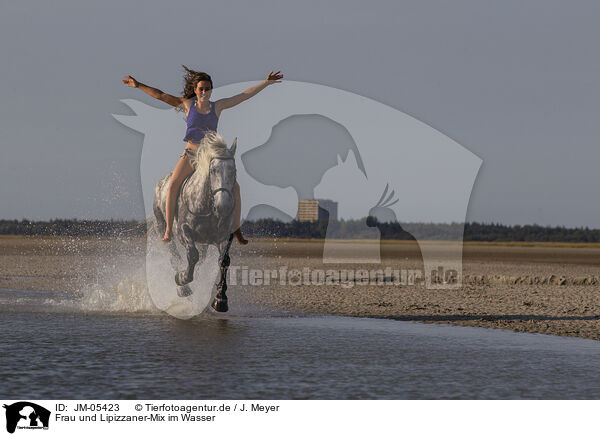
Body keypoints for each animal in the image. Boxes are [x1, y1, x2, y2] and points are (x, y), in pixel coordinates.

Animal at [152, 131, 237, 312]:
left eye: (233, 170)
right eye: (213, 170)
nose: (224, 206)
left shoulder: (223, 237)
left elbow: (224, 261)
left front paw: (220, 300)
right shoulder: (184, 231)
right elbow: (192, 255)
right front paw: (182, 279)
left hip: (203, 241)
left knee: (200, 260)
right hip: (163, 227)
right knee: (174, 256)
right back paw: (183, 288)